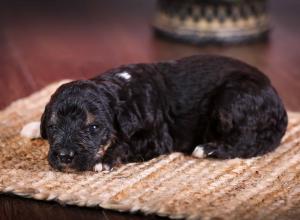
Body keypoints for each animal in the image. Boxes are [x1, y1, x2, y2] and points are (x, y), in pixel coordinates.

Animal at [38, 55, 288, 172]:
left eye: (93, 127)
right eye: (52, 127)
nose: (64, 157)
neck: (122, 90)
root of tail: (279, 103)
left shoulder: (158, 138)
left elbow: (126, 143)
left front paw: (105, 160)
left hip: (231, 100)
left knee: (249, 142)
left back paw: (208, 148)